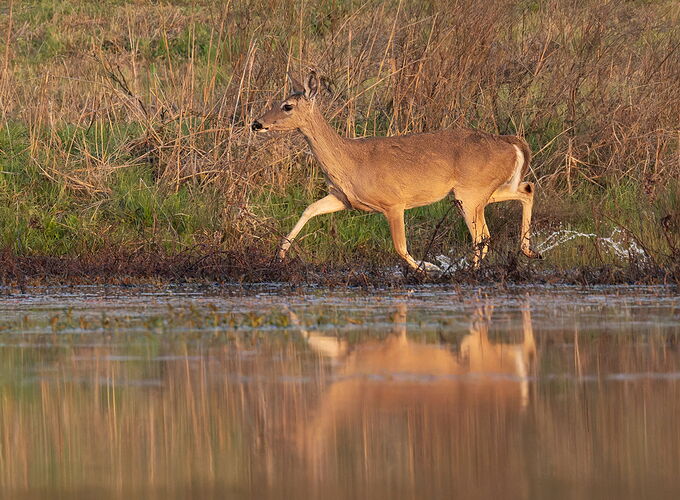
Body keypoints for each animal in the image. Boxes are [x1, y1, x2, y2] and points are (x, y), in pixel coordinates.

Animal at [252, 71, 541, 272]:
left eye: (287, 106)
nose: (257, 123)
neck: (350, 162)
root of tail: (512, 142)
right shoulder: (343, 198)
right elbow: (309, 209)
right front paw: (280, 254)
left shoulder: (394, 202)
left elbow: (400, 247)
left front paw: (427, 270)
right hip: (481, 191)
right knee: (526, 189)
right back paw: (529, 251)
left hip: (471, 191)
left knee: (482, 235)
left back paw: (471, 272)